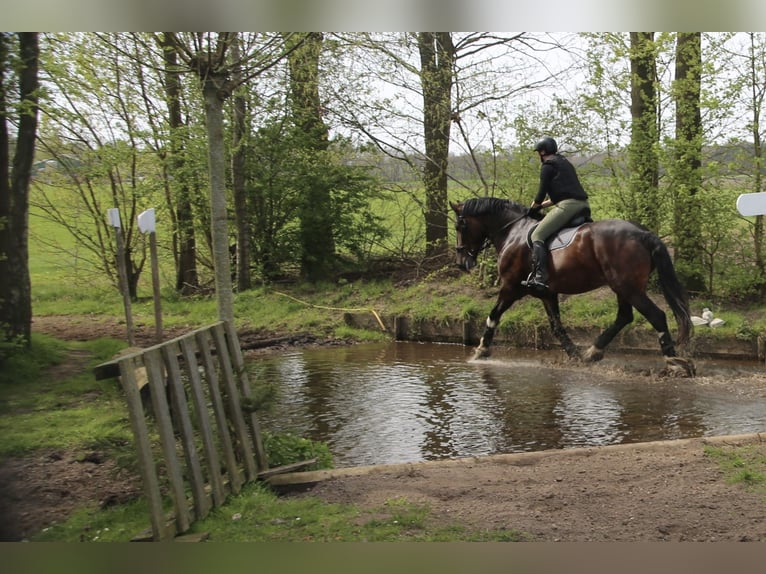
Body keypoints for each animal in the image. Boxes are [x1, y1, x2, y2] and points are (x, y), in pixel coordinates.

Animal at [450, 197, 695, 377]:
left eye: (460, 225)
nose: (461, 262)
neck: (513, 232)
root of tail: (643, 234)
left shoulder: (510, 287)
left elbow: (494, 315)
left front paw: (481, 350)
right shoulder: (547, 293)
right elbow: (557, 327)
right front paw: (574, 356)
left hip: (628, 287)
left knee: (656, 315)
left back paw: (674, 363)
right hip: (623, 288)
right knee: (624, 316)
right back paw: (592, 353)